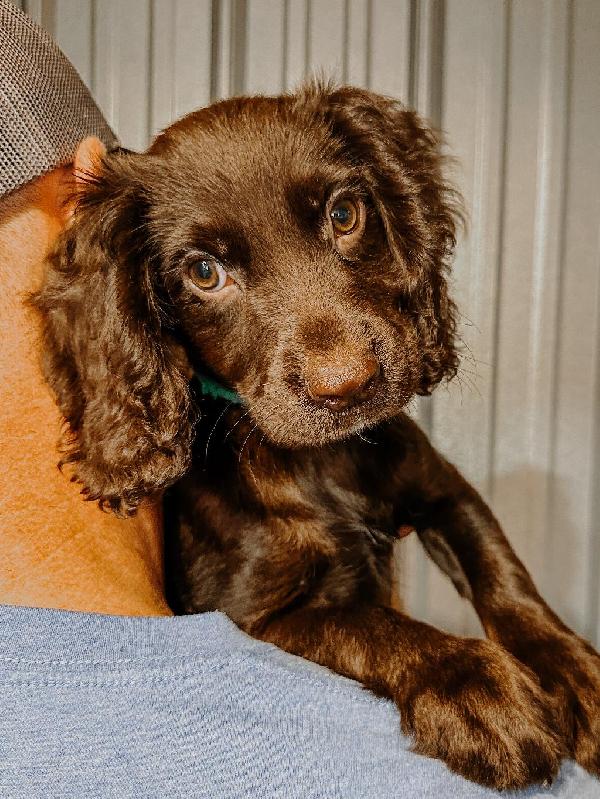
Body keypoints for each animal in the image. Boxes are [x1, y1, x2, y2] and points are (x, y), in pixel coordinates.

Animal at [34, 84, 600, 792]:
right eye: (203, 272)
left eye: (344, 214)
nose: (347, 386)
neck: (324, 464)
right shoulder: (254, 617)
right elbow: (373, 625)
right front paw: (476, 688)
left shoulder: (443, 489)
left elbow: (506, 579)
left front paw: (578, 674)